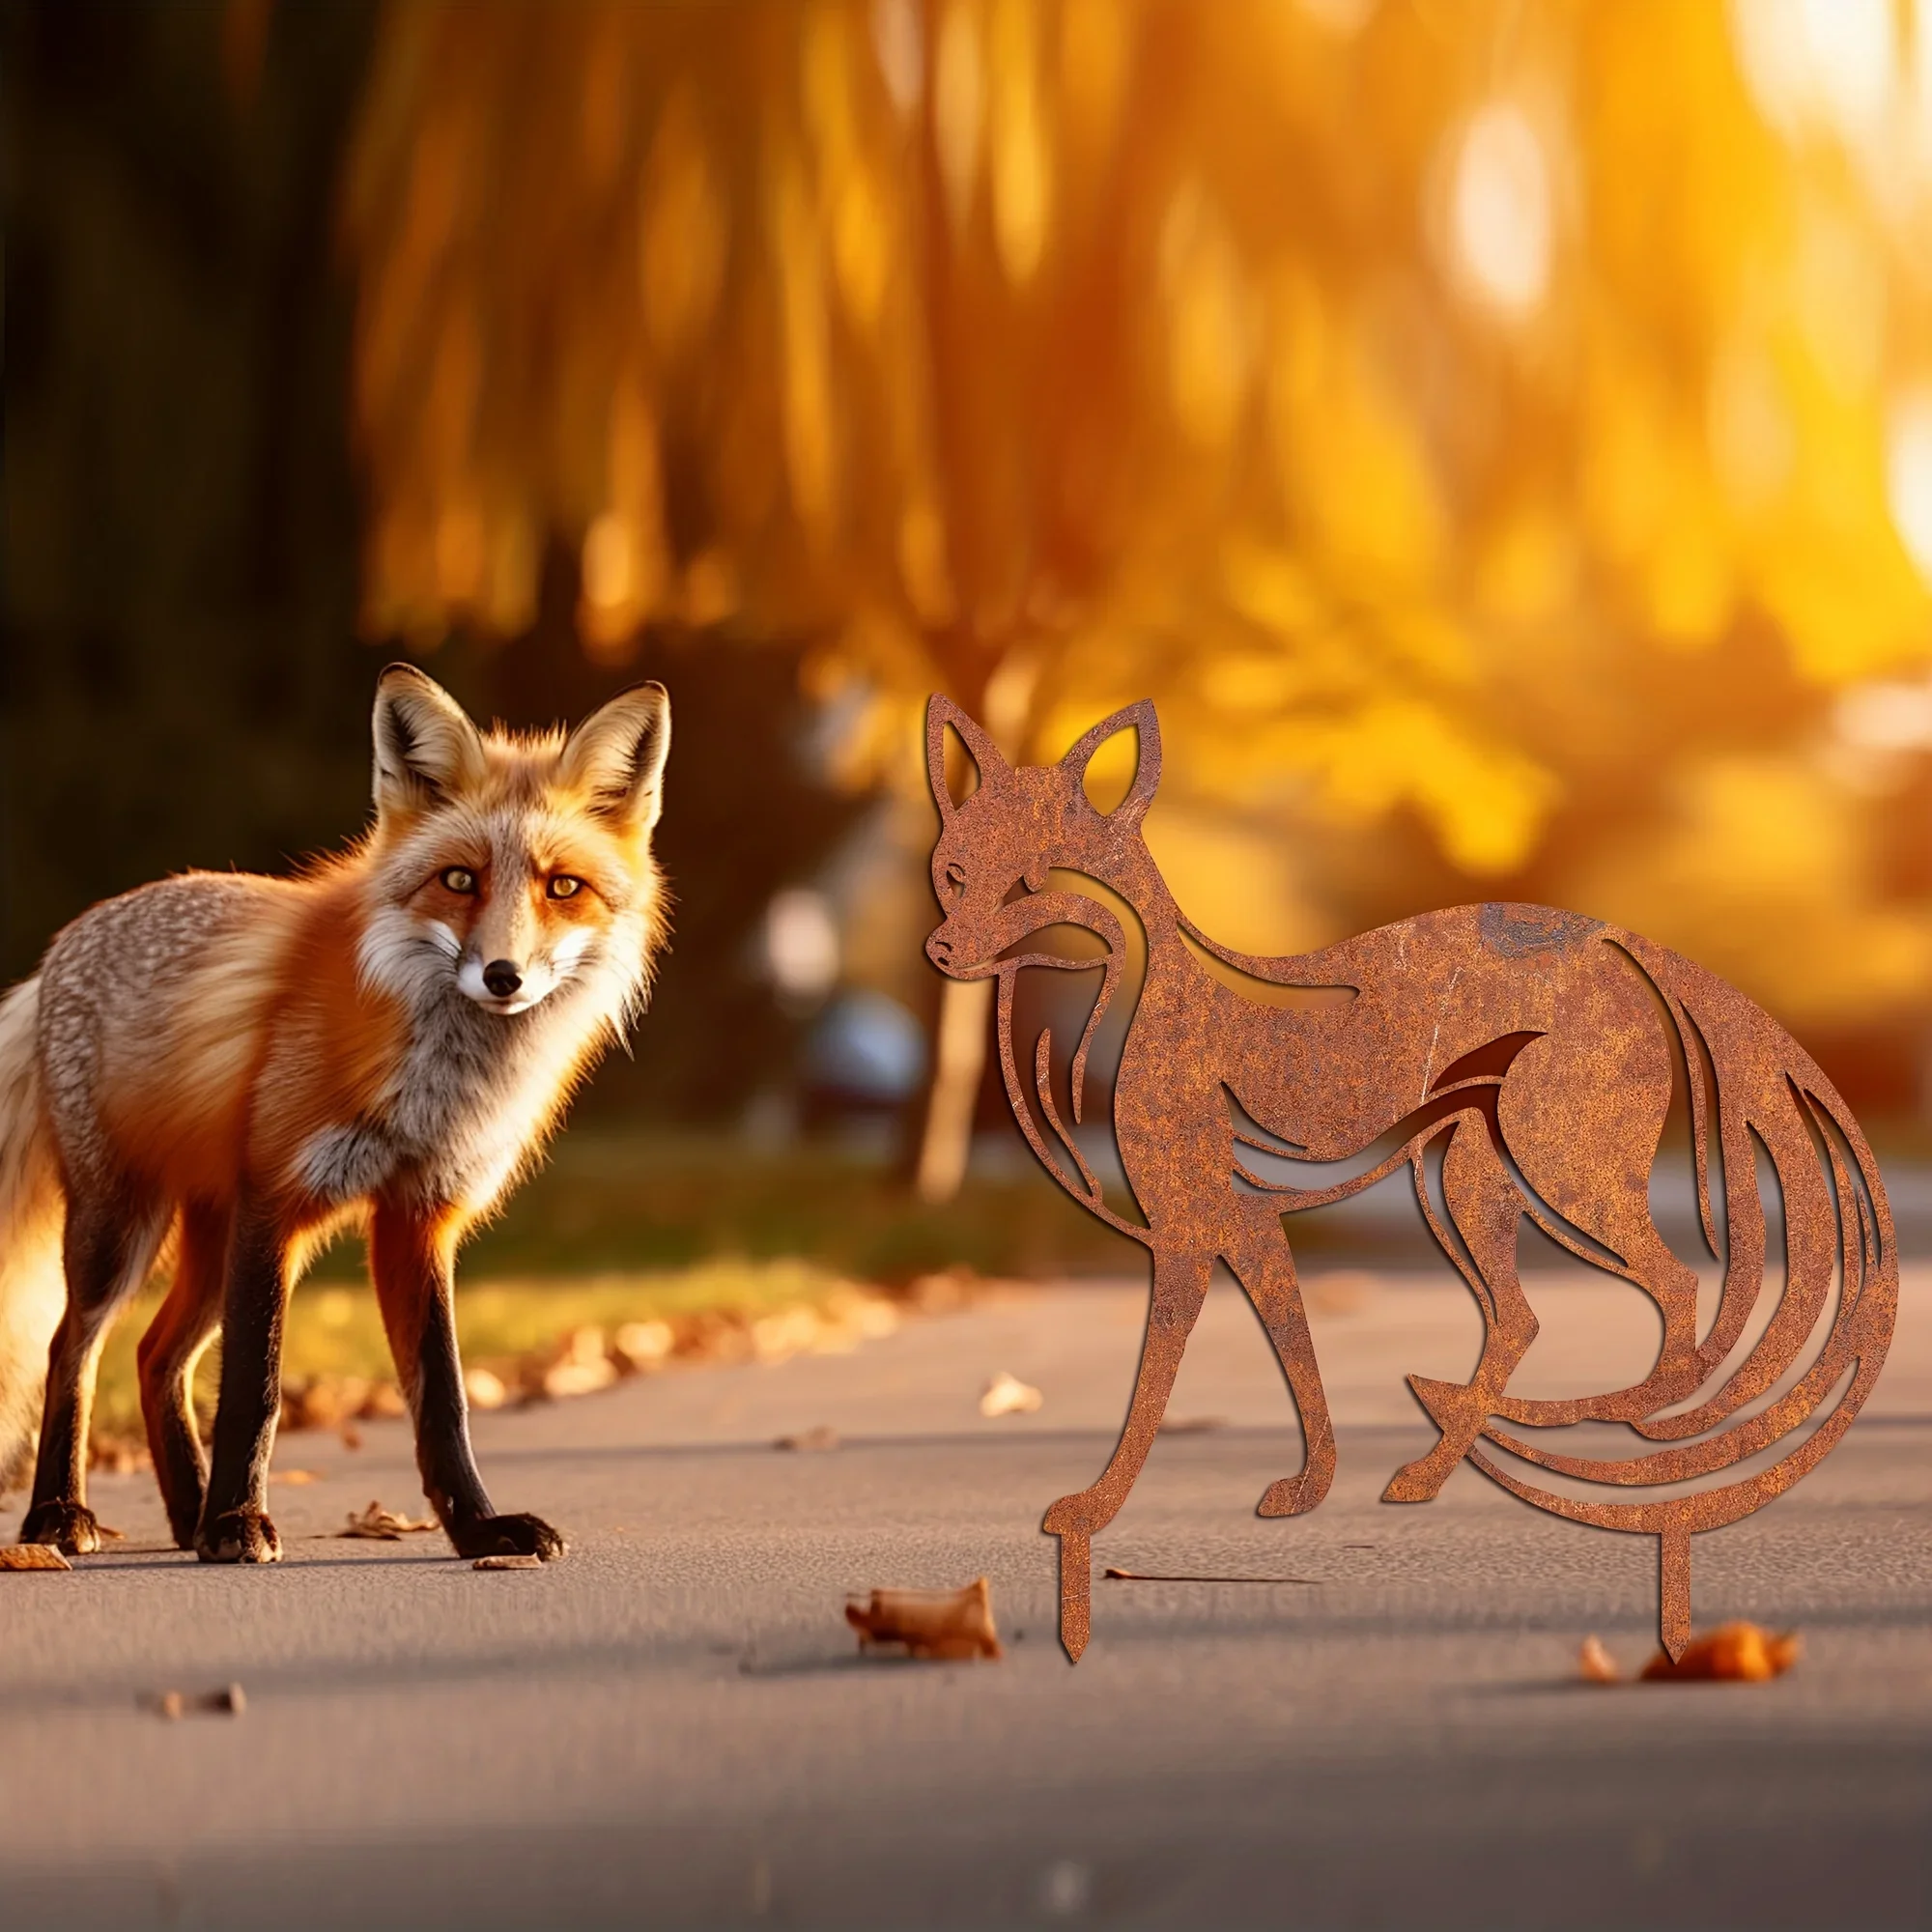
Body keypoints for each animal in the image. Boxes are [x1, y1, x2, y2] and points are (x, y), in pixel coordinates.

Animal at [0, 665, 670, 1564]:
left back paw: (187, 1515)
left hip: (211, 1242)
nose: (503, 976)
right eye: (459, 879)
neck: (435, 1088)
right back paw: (61, 1515)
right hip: (123, 1229)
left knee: (154, 1355)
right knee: (71, 1344)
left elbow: (443, 1399)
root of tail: (59, 949)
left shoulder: (418, 1215)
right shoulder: (277, 1199)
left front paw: (478, 1528)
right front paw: (239, 1525)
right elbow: (256, 1386)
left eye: (563, 887)